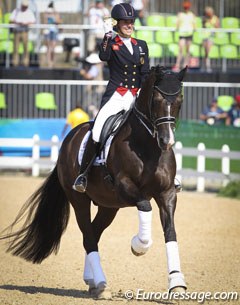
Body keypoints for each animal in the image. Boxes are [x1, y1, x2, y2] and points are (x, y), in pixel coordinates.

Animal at [1, 66, 188, 296]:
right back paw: (100, 284)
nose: (167, 141)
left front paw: (177, 283)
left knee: (93, 234)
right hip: (79, 200)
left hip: (109, 206)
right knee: (88, 237)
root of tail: (69, 139)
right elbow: (145, 206)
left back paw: (91, 280)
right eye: (157, 99)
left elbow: (170, 232)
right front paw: (139, 245)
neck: (148, 146)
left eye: (179, 100)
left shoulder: (167, 193)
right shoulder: (125, 185)